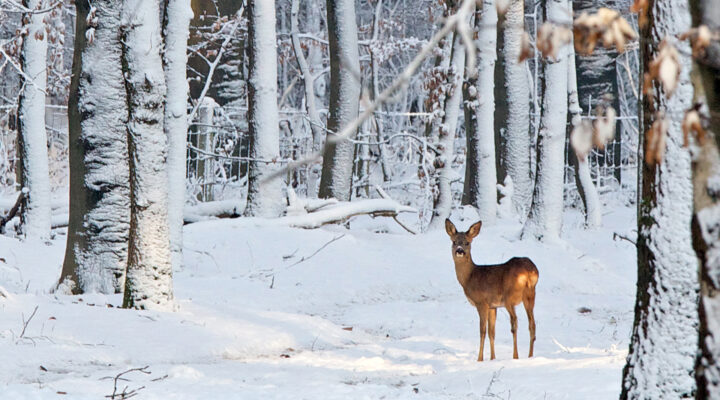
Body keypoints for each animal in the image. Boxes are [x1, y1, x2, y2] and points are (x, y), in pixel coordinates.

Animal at [445, 219, 539, 362]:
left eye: (467, 242)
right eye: (454, 241)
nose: (460, 251)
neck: (469, 278)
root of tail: (530, 271)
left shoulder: (481, 302)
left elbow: (482, 331)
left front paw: (480, 359)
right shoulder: (492, 306)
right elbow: (492, 332)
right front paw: (492, 358)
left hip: (509, 298)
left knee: (514, 323)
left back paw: (515, 356)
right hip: (530, 295)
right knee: (532, 324)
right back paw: (530, 356)